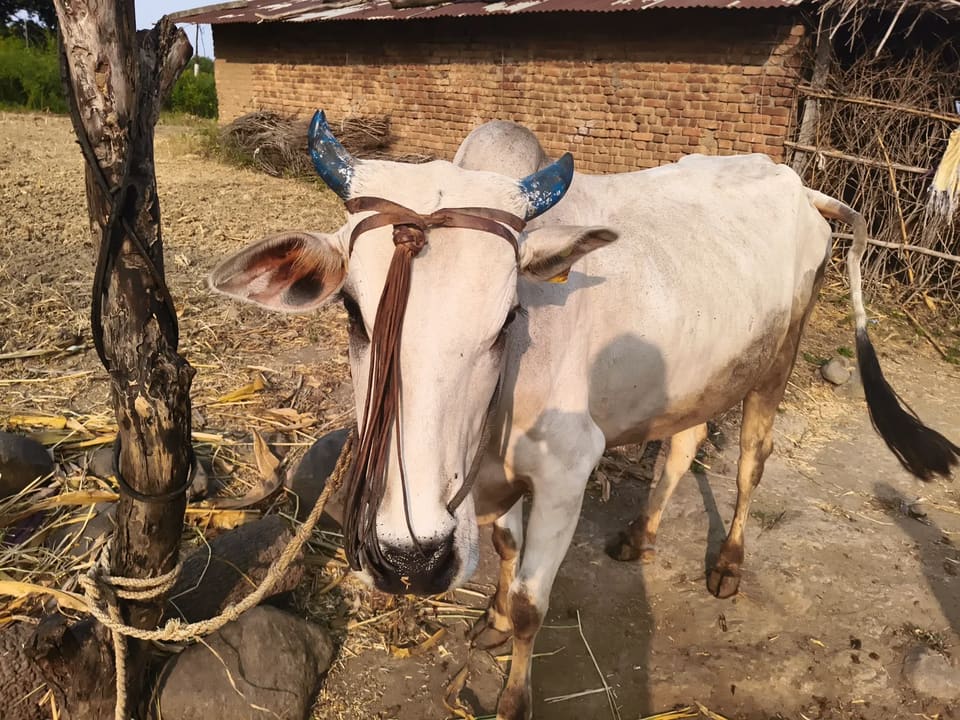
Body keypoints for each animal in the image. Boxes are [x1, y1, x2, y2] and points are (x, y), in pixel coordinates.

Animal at [209, 112, 959, 720]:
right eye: (353, 312)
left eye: (507, 318)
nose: (410, 561)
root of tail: (800, 187)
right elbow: (506, 554)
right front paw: (489, 618)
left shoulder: (568, 471)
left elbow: (530, 604)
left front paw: (512, 692)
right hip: (700, 371)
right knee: (683, 444)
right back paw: (640, 533)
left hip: (776, 363)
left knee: (750, 463)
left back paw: (728, 565)